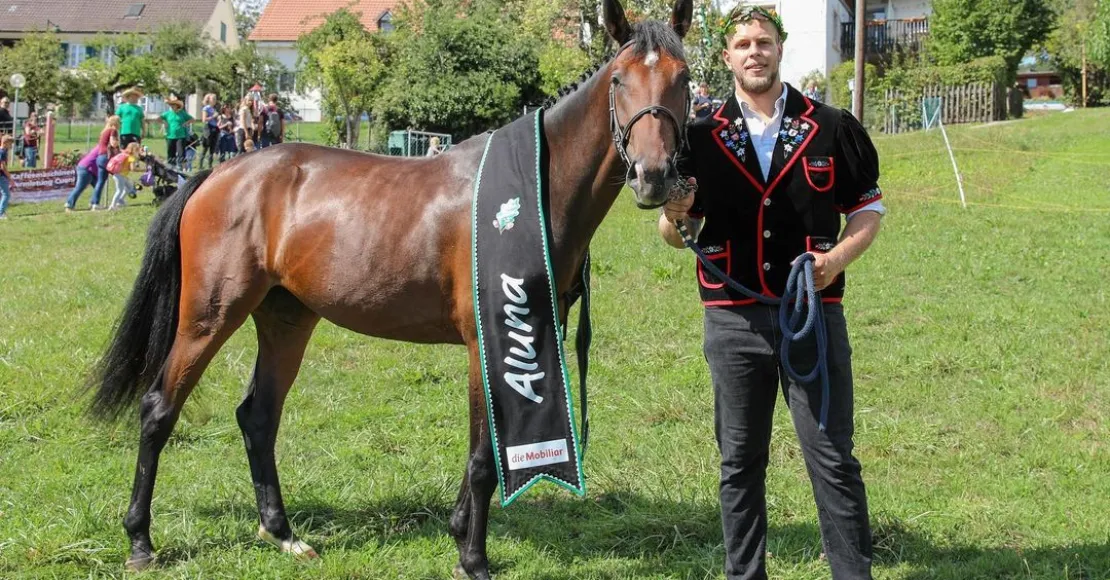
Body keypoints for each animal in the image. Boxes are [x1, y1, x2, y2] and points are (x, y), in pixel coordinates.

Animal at [86, 1, 693, 577]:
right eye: (619, 79)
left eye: (684, 78)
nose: (653, 175)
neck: (532, 190)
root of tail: (218, 173)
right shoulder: (489, 339)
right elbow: (484, 458)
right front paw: (473, 558)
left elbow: (483, 454)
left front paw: (460, 538)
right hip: (208, 316)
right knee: (159, 409)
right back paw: (140, 541)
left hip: (286, 320)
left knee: (258, 417)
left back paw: (283, 534)